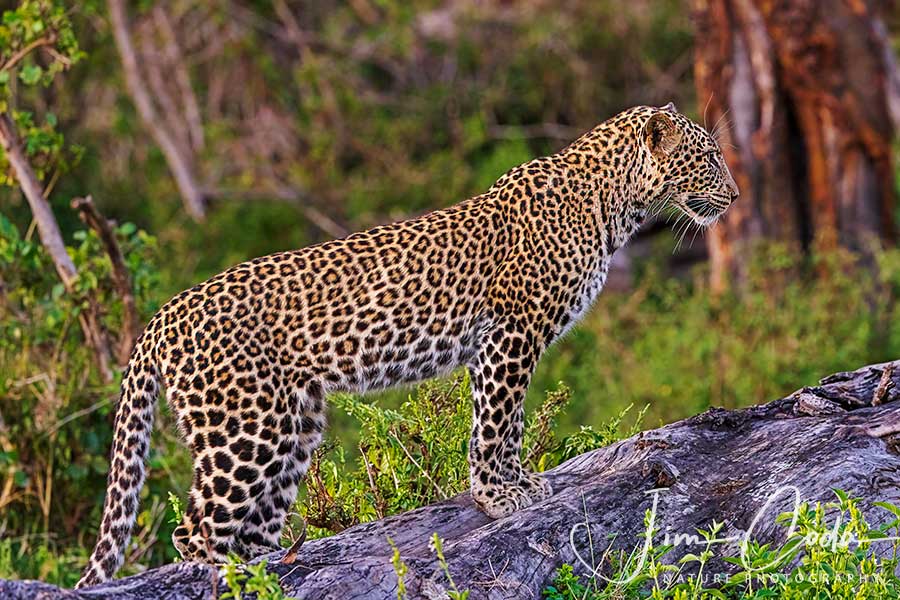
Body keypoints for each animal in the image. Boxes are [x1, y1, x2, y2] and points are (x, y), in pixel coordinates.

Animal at [77, 103, 740, 584]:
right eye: (708, 157)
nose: (734, 196)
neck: (616, 205)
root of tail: (162, 316)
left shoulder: (496, 343)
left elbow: (503, 421)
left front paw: (515, 484)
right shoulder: (512, 331)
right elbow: (498, 420)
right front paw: (500, 496)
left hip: (294, 425)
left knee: (252, 526)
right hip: (245, 430)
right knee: (192, 532)